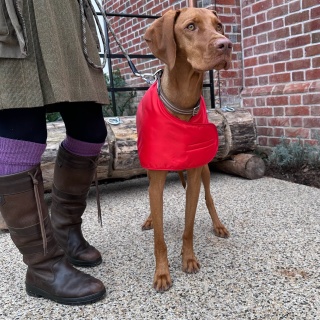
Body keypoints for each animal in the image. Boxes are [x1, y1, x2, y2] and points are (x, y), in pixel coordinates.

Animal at [136, 8, 232, 292]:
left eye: (219, 25)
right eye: (190, 26)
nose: (226, 45)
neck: (181, 103)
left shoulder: (195, 176)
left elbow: (188, 227)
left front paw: (187, 258)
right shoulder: (156, 179)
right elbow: (159, 238)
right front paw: (162, 272)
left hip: (206, 173)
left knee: (210, 199)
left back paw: (218, 225)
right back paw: (149, 218)